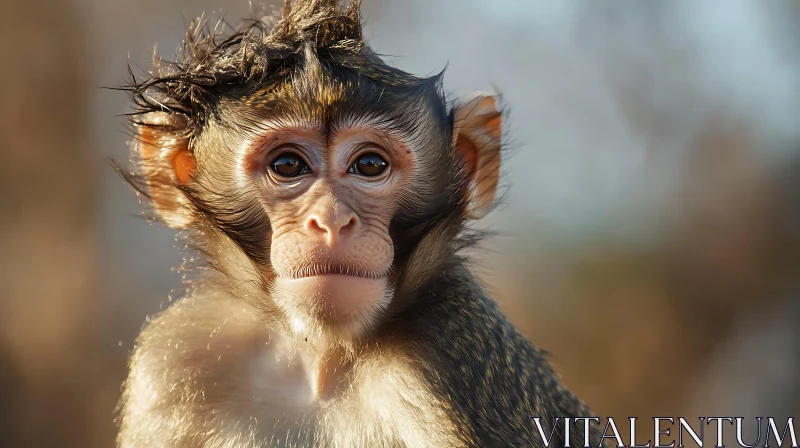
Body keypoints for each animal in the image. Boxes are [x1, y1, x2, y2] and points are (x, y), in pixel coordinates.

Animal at [115, 0, 608, 448]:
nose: (332, 220)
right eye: (288, 165)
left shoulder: (453, 358)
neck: (320, 361)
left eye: (370, 165)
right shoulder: (177, 359)